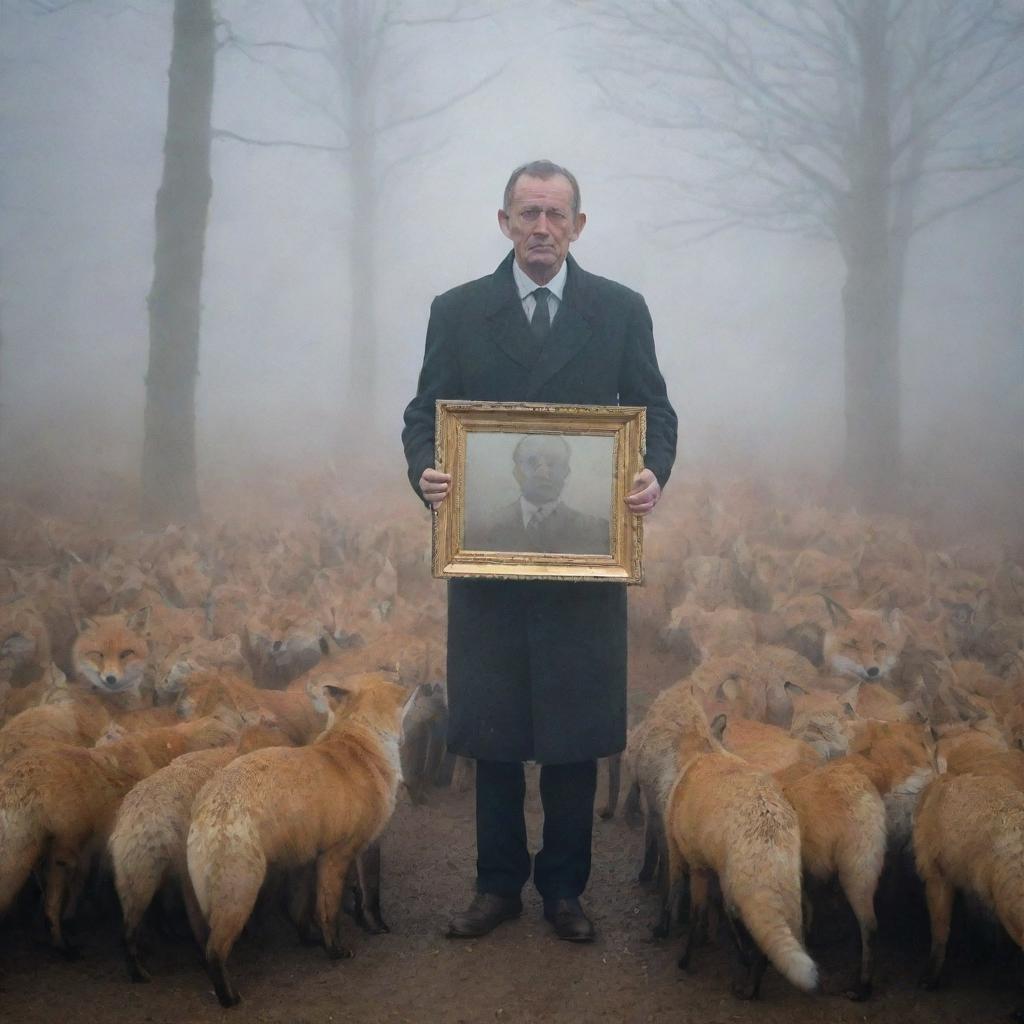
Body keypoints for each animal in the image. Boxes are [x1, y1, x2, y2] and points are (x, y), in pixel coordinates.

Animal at [186, 671, 409, 1007]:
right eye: (392, 679)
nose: (413, 680)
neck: (361, 744)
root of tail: (205, 807)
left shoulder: (309, 858)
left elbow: (302, 909)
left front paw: (315, 939)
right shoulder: (341, 853)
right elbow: (335, 908)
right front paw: (338, 950)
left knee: (205, 944)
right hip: (241, 893)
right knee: (215, 951)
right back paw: (228, 998)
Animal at [659, 688, 819, 999]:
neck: (705, 754)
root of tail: (768, 834)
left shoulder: (690, 861)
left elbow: (691, 911)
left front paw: (683, 955)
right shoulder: (706, 868)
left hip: (732, 887)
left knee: (739, 927)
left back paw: (744, 978)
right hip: (788, 898)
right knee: (768, 947)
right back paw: (751, 984)